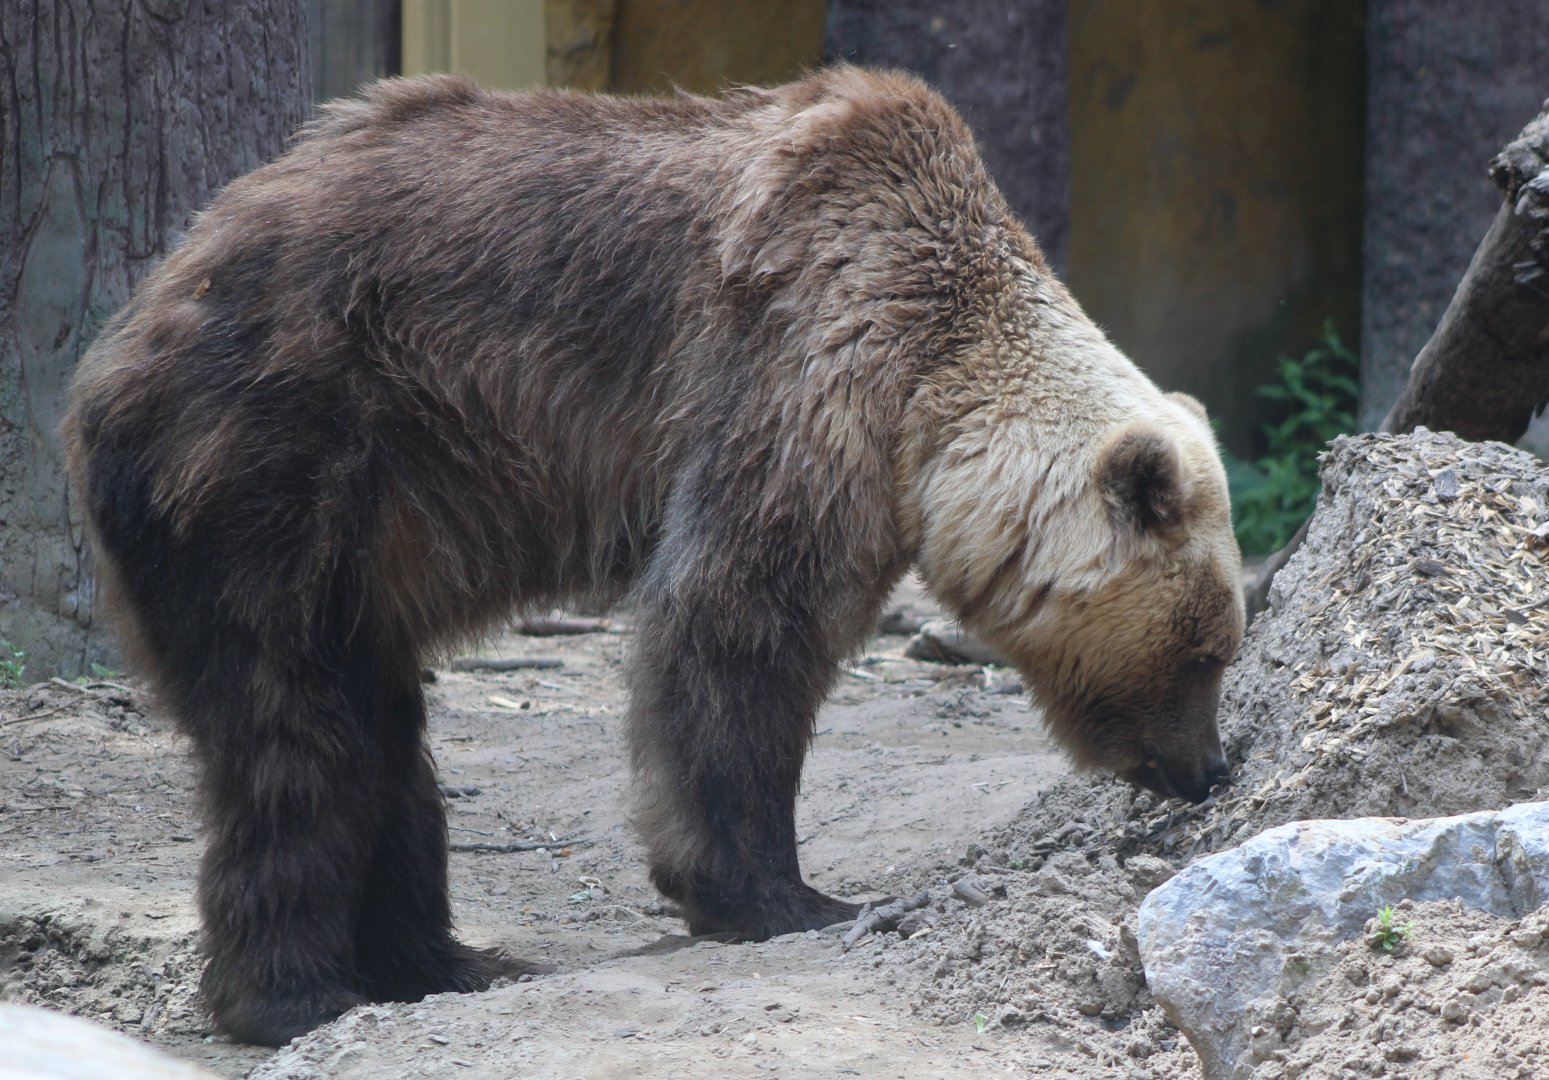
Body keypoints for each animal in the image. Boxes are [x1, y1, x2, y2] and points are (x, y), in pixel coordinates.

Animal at [62, 67, 1244, 1046]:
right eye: (1205, 651)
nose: (1207, 768)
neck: (935, 382)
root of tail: (125, 335)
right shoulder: (802, 359)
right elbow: (735, 618)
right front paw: (783, 894)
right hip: (277, 456)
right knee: (294, 724)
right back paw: (296, 994)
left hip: (345, 533)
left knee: (376, 724)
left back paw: (442, 960)